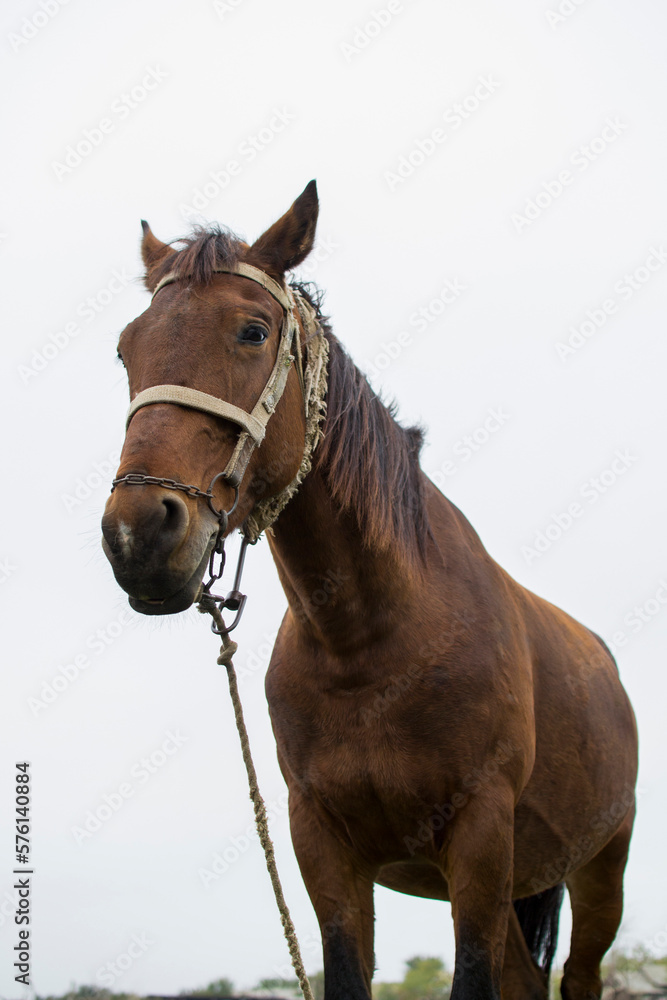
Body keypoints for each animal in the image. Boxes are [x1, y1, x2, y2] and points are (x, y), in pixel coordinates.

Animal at [101, 181, 638, 1000]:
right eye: (127, 348)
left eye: (253, 332)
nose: (138, 534)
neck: (370, 642)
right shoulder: (323, 843)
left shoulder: (480, 838)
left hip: (600, 868)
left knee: (578, 976)